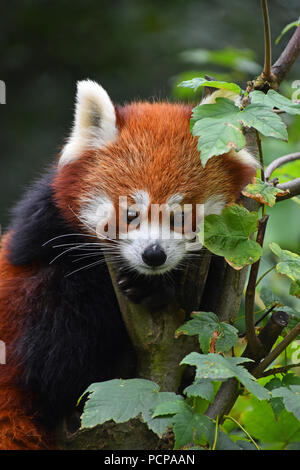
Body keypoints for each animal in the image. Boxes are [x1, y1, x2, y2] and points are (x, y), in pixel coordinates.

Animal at [0, 80, 258, 448]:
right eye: (131, 213)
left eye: (179, 216)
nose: (153, 255)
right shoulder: (40, 229)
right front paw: (143, 285)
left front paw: (156, 289)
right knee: (57, 329)